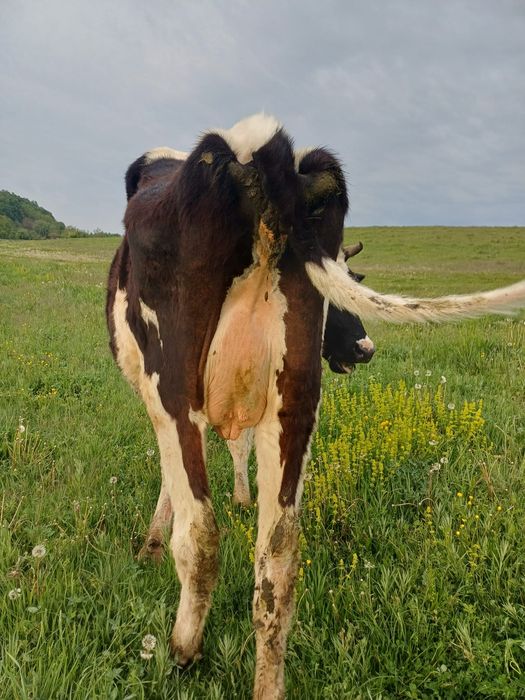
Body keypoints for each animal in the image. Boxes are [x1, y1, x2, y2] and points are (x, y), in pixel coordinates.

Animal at [106, 114, 525, 699]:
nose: (364, 348)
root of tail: (256, 151)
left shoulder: (165, 404)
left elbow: (177, 485)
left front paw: (149, 544)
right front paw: (241, 495)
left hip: (175, 388)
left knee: (202, 535)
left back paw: (182, 648)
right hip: (295, 400)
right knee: (279, 559)